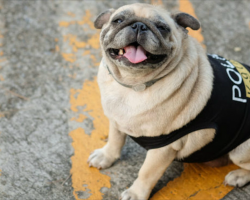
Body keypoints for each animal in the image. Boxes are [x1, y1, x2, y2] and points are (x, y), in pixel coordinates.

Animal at [87, 3, 250, 200]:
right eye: (118, 20)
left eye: (162, 28)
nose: (139, 25)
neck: (134, 85)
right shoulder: (116, 120)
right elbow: (115, 140)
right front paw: (106, 156)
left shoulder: (163, 148)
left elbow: (147, 173)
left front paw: (135, 193)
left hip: (241, 151)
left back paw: (238, 176)